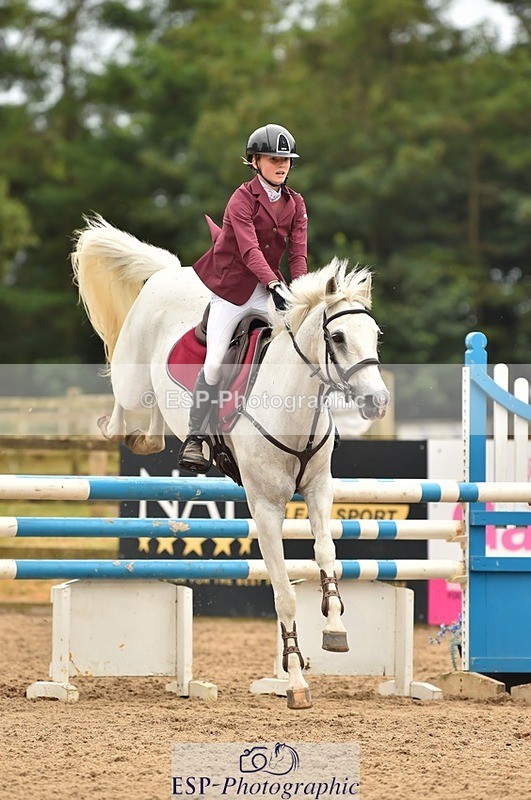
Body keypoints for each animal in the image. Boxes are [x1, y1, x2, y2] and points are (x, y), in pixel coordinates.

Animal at [72, 215, 390, 709]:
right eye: (337, 337)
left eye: (373, 336)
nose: (377, 402)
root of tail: (170, 272)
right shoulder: (265, 506)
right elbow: (284, 593)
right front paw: (295, 682)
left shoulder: (319, 491)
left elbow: (326, 555)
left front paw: (335, 628)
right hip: (131, 375)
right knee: (123, 401)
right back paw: (119, 429)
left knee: (157, 418)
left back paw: (152, 441)